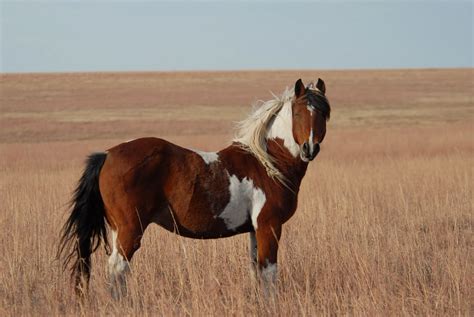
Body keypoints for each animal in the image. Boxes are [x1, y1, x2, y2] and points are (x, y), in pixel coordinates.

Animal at [58, 78, 330, 298]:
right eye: (299, 113)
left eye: (324, 113)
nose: (310, 148)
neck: (267, 163)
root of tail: (107, 154)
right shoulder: (269, 226)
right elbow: (269, 272)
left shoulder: (255, 229)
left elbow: (256, 270)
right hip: (130, 229)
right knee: (118, 268)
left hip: (117, 229)